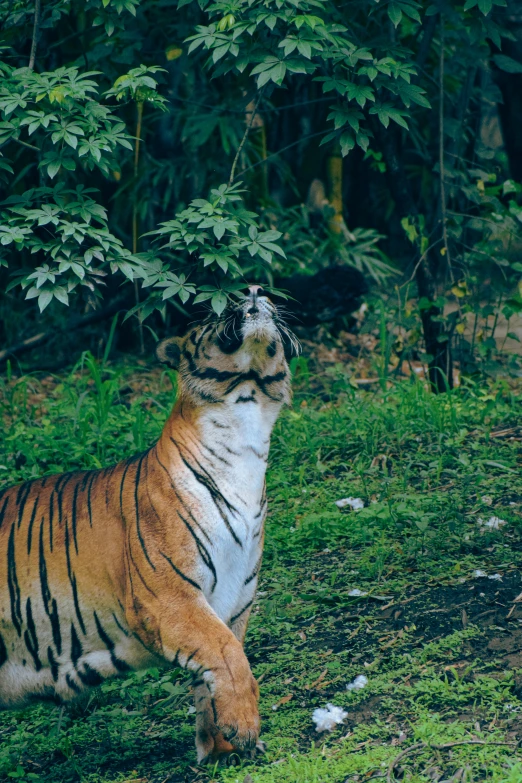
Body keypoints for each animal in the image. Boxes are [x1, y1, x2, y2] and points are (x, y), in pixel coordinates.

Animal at [0, 284, 292, 764]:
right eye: (212, 311)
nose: (253, 289)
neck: (245, 421)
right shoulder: (166, 597)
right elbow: (228, 654)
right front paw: (245, 726)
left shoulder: (232, 601)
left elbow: (215, 669)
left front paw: (221, 748)